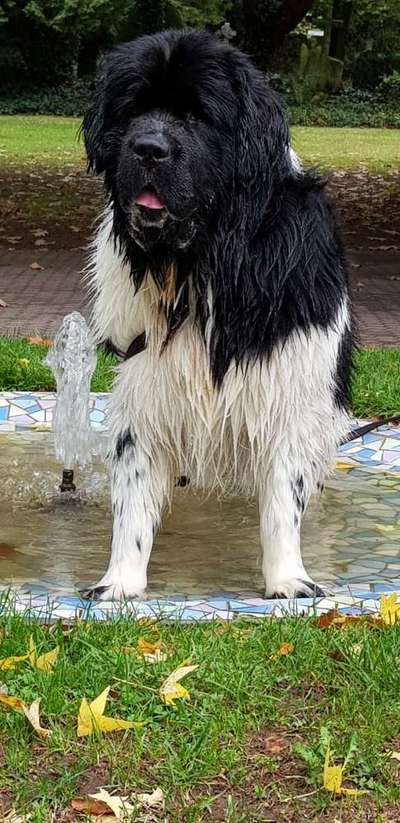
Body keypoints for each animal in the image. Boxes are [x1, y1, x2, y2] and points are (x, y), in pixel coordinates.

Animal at [82, 29, 354, 600]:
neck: (201, 265)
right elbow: (133, 497)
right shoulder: (145, 382)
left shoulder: (289, 384)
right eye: (133, 110)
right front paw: (120, 583)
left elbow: (283, 497)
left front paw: (289, 581)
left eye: (198, 116)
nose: (148, 148)